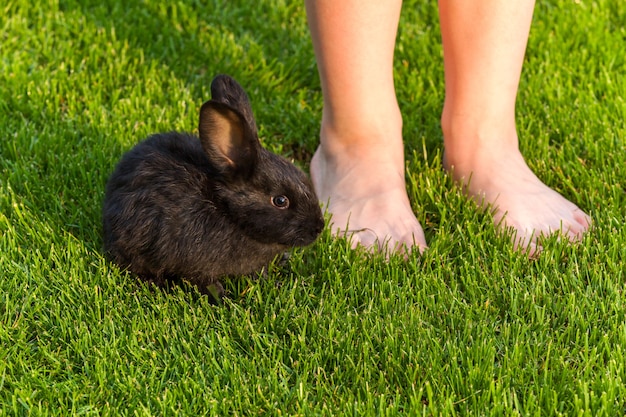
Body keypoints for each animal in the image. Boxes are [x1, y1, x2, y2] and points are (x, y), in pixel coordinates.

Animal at [101, 74, 322, 296]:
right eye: (280, 200)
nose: (318, 228)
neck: (227, 211)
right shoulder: (197, 266)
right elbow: (207, 283)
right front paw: (223, 299)